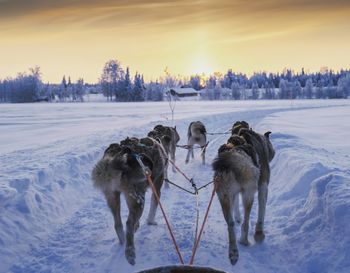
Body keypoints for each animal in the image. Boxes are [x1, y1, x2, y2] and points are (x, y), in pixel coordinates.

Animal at [91, 136, 165, 264]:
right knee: (129, 223)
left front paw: (138, 225)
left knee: (118, 224)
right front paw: (150, 222)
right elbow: (153, 210)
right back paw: (130, 252)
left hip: (113, 197)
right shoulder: (156, 188)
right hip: (138, 200)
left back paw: (123, 241)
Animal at [212, 136, 258, 264]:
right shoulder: (237, 194)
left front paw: (237, 217)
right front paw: (238, 217)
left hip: (225, 197)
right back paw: (243, 241)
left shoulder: (234, 195)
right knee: (244, 221)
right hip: (246, 195)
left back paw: (233, 252)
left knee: (231, 223)